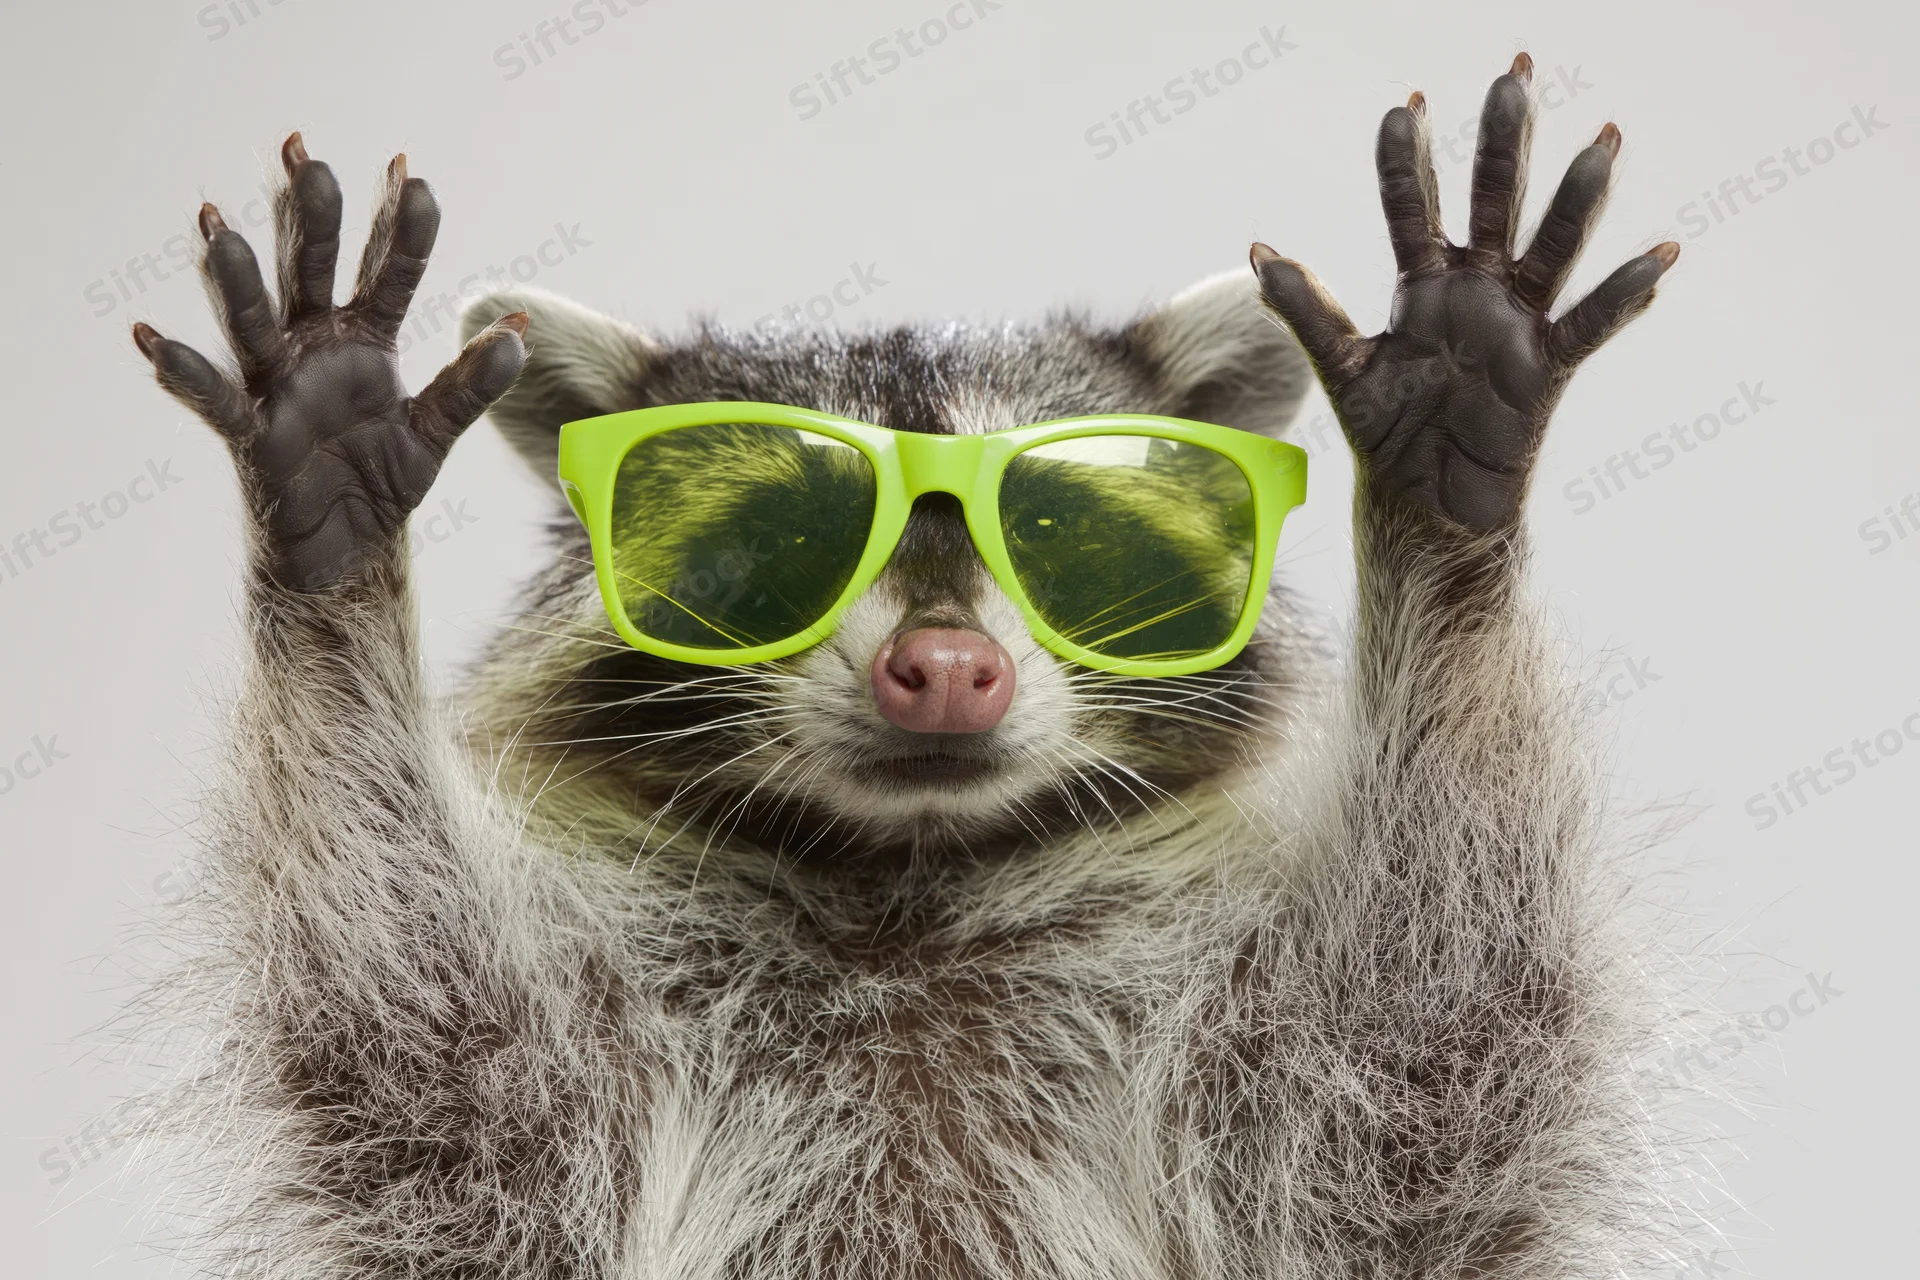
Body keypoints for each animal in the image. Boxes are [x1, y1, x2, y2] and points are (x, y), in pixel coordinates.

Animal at [130, 55, 1683, 1280]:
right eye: (792, 537)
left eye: (1048, 527)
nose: (943, 669)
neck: (910, 880)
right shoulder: (568, 1087)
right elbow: (437, 1079)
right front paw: (336, 535)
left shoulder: (1264, 1089)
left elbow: (1422, 1076)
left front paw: (1441, 492)